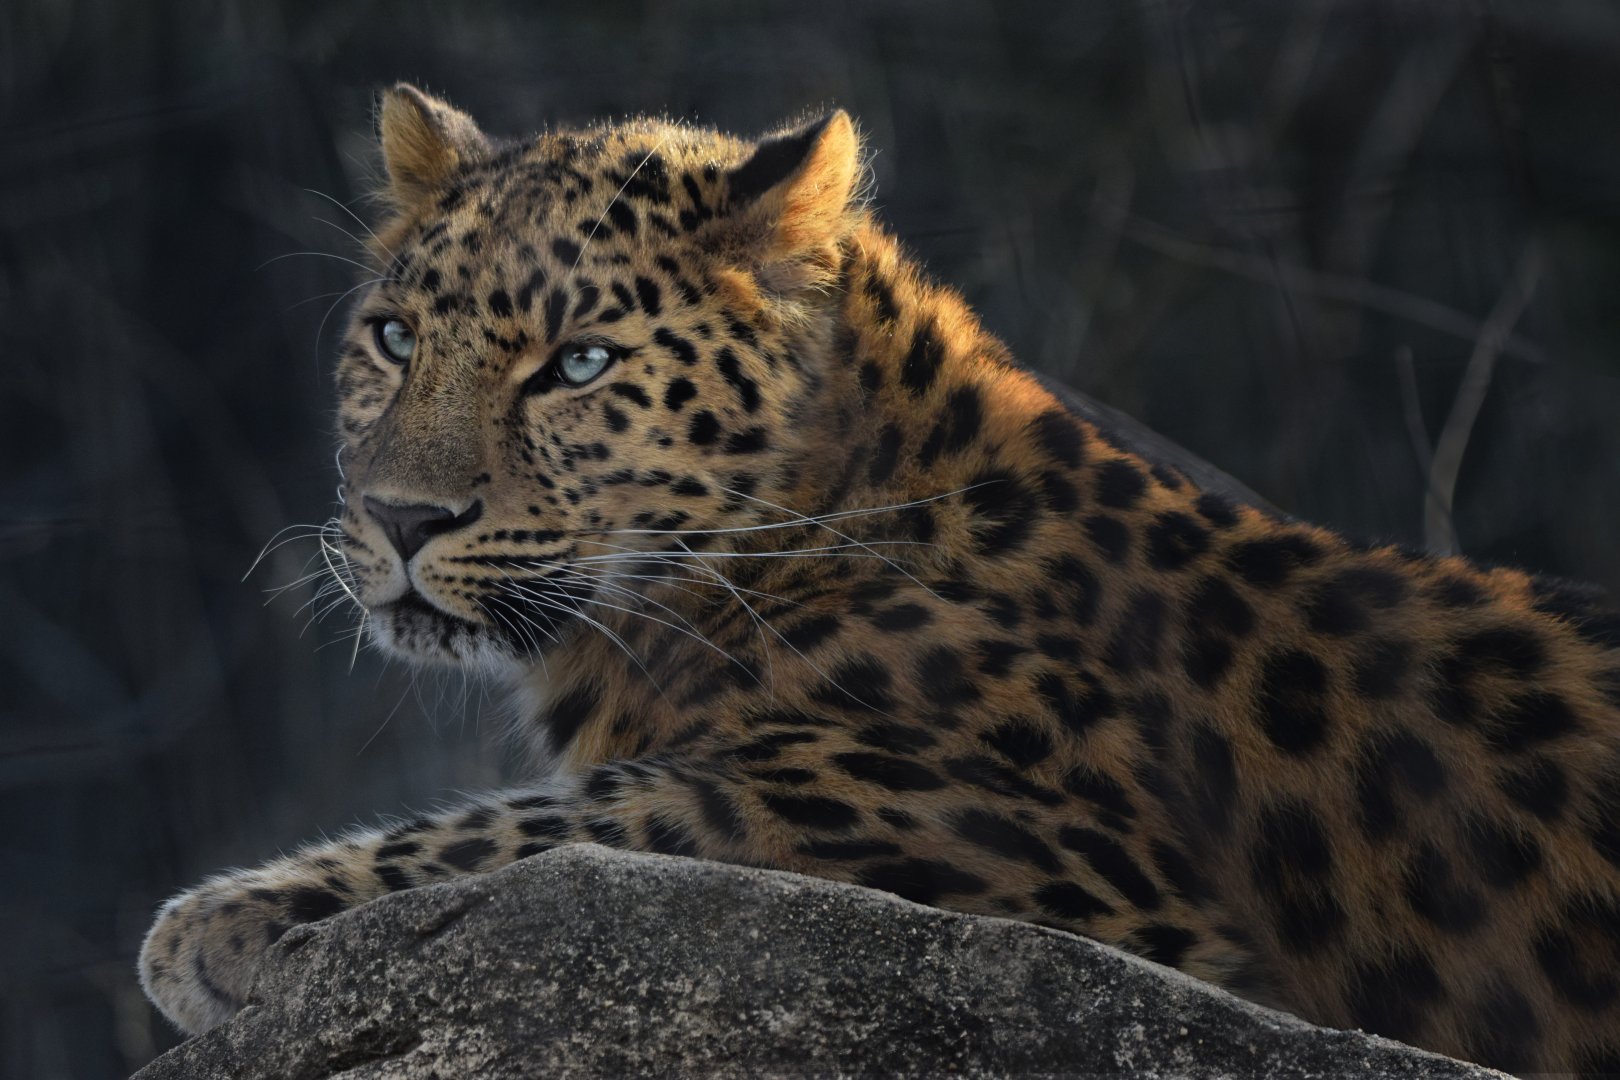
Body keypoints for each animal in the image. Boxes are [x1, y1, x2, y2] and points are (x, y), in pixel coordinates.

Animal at [139, 84, 1620, 1074]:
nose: (399, 519)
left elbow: (558, 832)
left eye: (578, 365)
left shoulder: (1006, 836)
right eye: (393, 338)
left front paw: (219, 922)